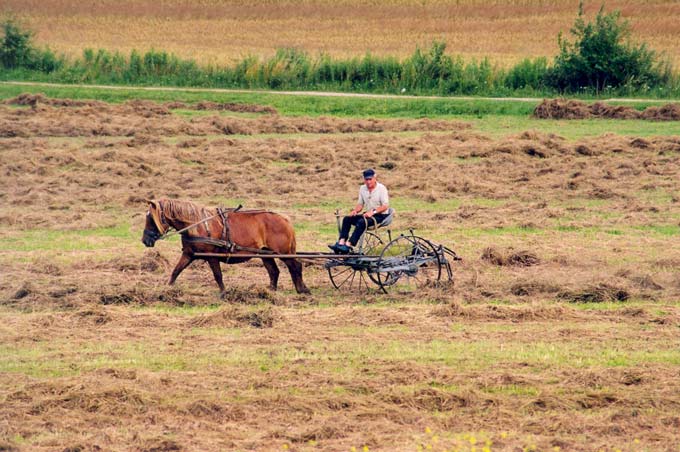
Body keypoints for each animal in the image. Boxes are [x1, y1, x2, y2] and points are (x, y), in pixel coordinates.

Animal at [141, 198, 310, 294]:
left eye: (151, 218)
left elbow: (218, 275)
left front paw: (223, 293)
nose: (144, 240)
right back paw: (270, 292)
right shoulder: (188, 254)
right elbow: (176, 271)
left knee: (296, 266)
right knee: (274, 271)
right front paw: (166, 289)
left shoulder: (212, 257)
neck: (197, 225)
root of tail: (285, 219)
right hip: (265, 253)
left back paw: (302, 289)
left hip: (283, 253)